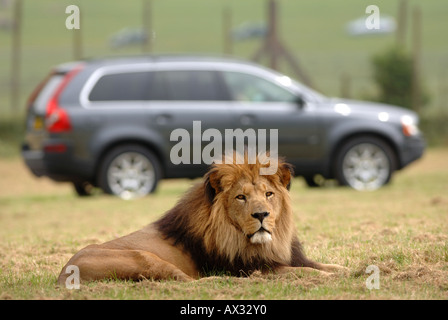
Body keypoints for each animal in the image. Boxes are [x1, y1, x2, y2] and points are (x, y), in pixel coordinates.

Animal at [57, 152, 346, 284]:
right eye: (241, 197)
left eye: (269, 194)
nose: (261, 214)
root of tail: (63, 273)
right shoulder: (253, 267)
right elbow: (305, 271)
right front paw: (327, 278)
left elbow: (328, 266)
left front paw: (349, 271)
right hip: (144, 258)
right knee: (188, 282)